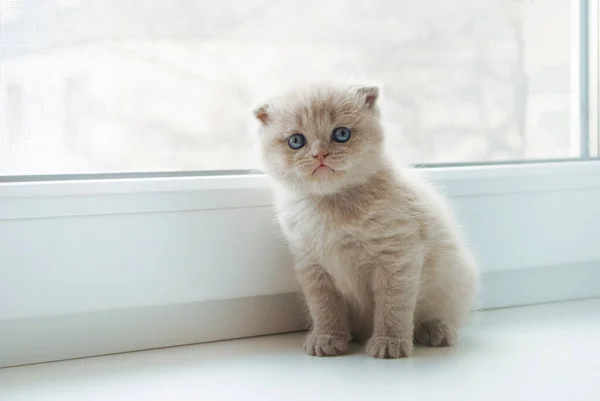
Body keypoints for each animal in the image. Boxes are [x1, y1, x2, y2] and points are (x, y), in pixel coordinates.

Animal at [253, 85, 478, 360]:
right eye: (296, 141)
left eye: (341, 134)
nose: (320, 154)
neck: (331, 205)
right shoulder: (311, 265)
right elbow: (324, 307)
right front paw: (327, 338)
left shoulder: (396, 257)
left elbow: (393, 304)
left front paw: (390, 342)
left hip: (457, 280)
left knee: (445, 314)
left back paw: (437, 330)